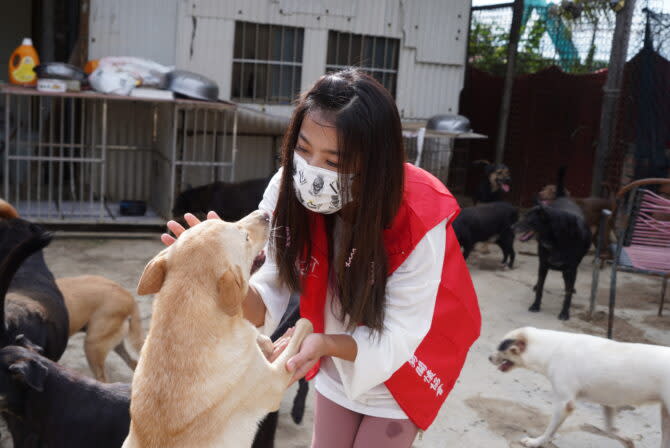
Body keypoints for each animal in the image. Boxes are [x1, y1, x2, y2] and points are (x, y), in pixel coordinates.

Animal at [124, 211, 316, 448]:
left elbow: (258, 337)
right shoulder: (276, 380)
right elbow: (299, 333)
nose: (265, 214)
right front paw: (306, 325)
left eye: (227, 220)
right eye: (245, 238)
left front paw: (264, 343)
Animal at [488, 328, 670, 446]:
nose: (489, 357)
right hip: (665, 415)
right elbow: (611, 429)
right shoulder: (608, 403)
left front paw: (537, 442)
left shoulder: (564, 403)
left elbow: (549, 430)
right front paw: (627, 441)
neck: (552, 349)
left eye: (500, 349)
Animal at [516, 167, 592, 318]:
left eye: (529, 220)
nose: (512, 227)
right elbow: (541, 287)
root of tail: (562, 196)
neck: (557, 238)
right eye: (524, 215)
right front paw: (535, 305)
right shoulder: (543, 264)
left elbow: (567, 294)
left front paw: (564, 313)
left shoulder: (571, 268)